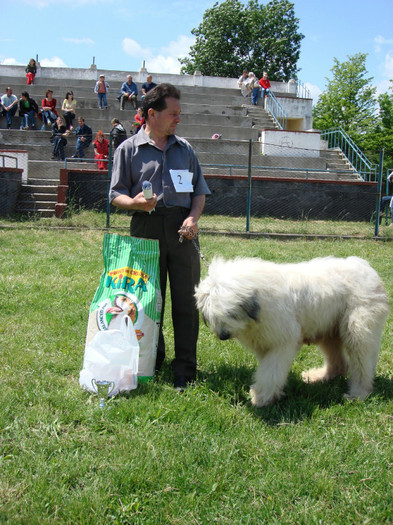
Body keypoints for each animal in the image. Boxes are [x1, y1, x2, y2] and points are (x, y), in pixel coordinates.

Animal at [194, 254, 388, 406]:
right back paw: (317, 377)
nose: (223, 336)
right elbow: (268, 369)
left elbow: (271, 370)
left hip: (359, 328)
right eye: (211, 315)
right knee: (339, 363)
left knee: (362, 363)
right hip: (328, 330)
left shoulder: (282, 341)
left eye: (231, 313)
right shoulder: (264, 343)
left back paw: (358, 394)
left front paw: (262, 397)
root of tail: (367, 268)